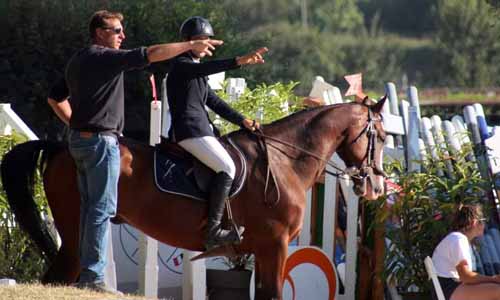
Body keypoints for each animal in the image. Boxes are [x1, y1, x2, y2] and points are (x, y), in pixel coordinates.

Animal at [0, 98, 386, 298]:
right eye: (380, 136)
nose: (376, 187)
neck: (284, 160)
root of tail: (60, 146)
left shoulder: (266, 250)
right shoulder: (274, 246)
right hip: (77, 231)